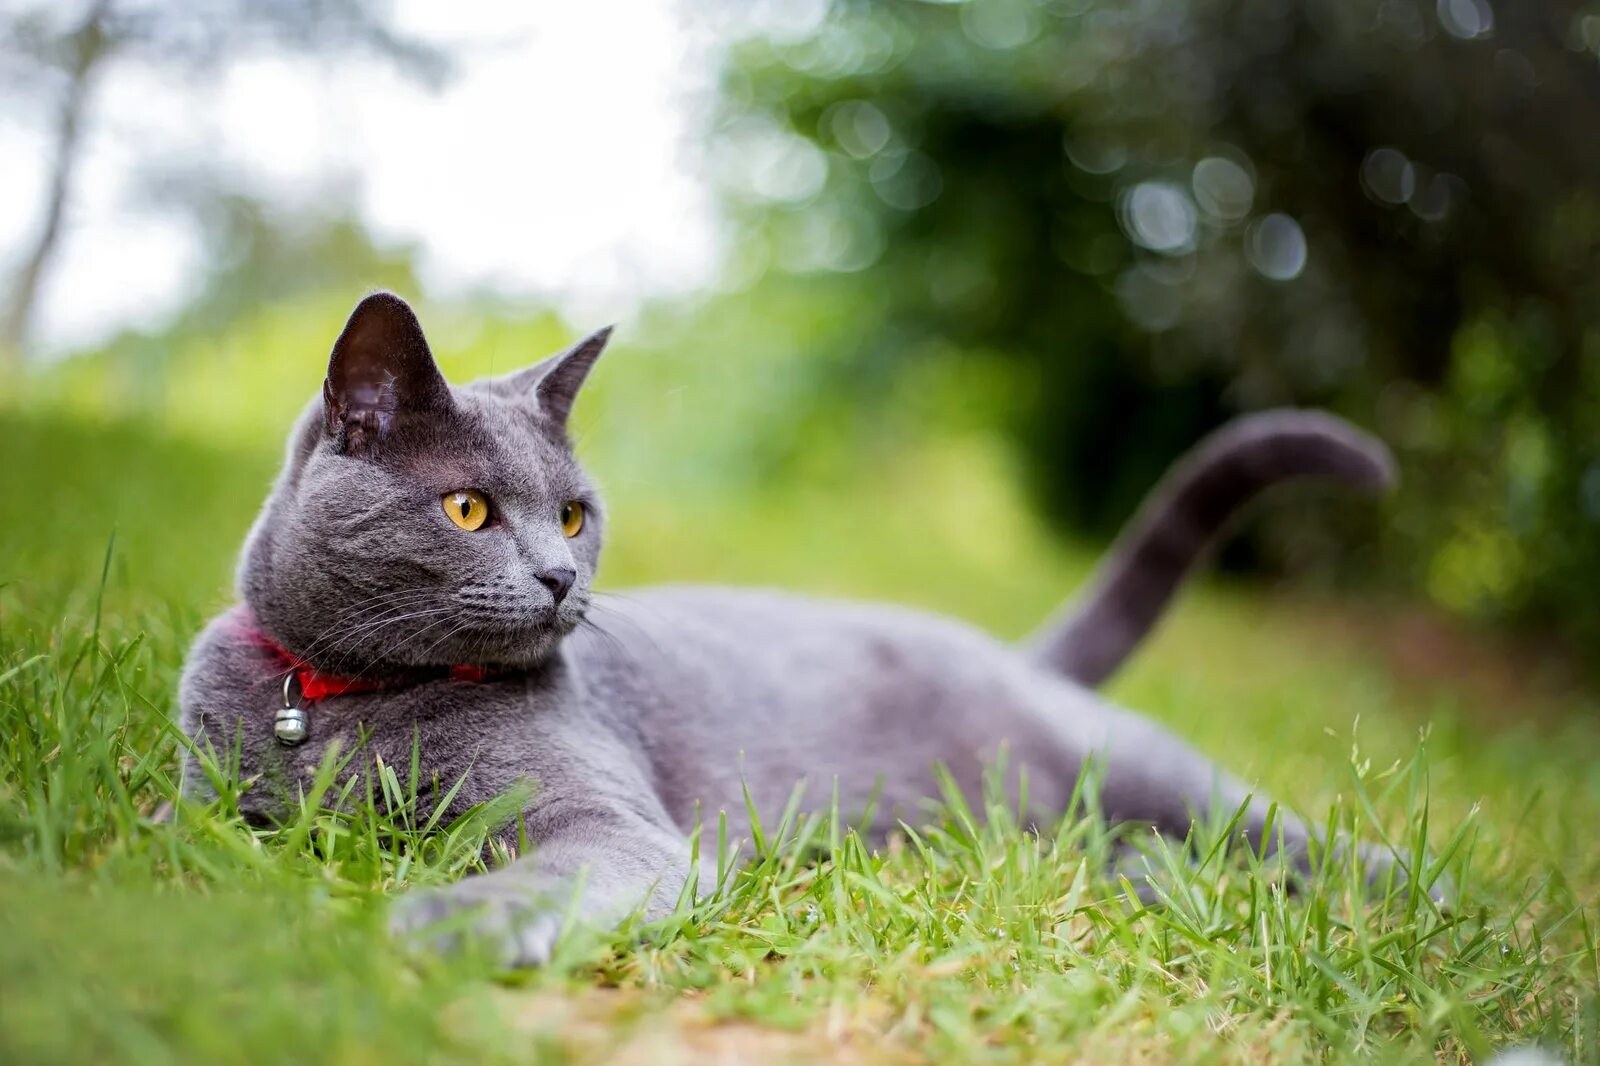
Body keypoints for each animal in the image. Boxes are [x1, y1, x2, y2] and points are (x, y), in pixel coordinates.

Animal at [181, 291, 1420, 960]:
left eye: (574, 513)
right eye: (468, 508)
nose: (556, 575)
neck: (337, 702)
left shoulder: (614, 824)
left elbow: (547, 874)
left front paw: (448, 925)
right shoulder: (206, 782)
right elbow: (178, 820)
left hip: (1130, 760)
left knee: (1277, 826)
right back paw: (1156, 882)